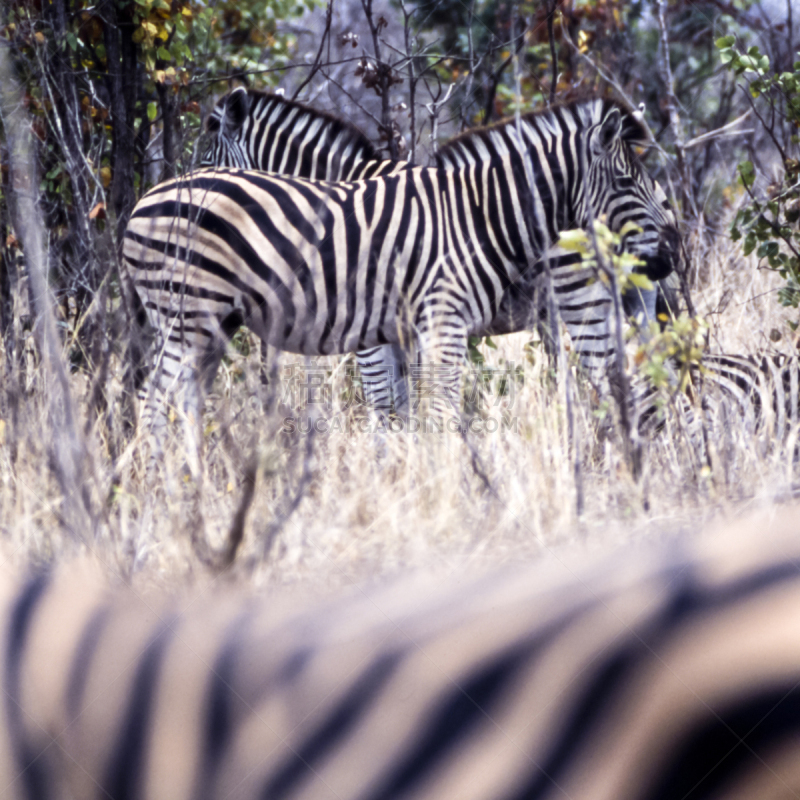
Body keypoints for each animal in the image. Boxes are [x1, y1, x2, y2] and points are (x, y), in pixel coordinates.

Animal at [128, 100, 684, 438]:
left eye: (207, 157)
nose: (672, 249)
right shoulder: (392, 331)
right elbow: (401, 409)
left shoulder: (375, 335)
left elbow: (392, 409)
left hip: (589, 303)